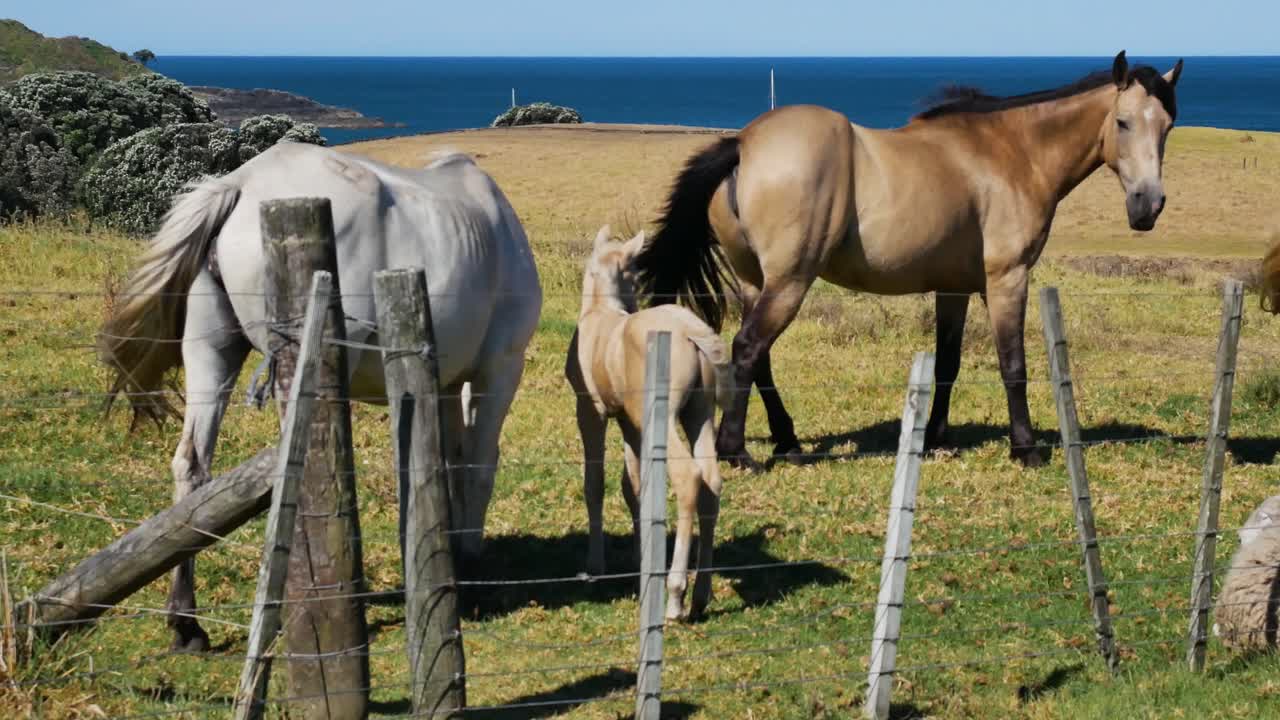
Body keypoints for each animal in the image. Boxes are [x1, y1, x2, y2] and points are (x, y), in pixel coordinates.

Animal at [99, 141, 542, 650]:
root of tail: (241, 185)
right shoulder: (500, 369)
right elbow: (478, 465)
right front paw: (468, 568)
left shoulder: (446, 382)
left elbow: (446, 464)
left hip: (210, 355)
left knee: (192, 468)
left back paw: (186, 622)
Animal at [565, 225, 731, 620]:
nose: (636, 302)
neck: (600, 312)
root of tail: (690, 331)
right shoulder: (629, 422)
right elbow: (634, 486)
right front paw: (641, 557)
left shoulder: (590, 412)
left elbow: (595, 484)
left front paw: (595, 567)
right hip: (699, 414)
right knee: (711, 481)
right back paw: (701, 595)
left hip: (666, 417)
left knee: (689, 477)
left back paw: (675, 596)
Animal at [633, 51, 1183, 468]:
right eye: (1122, 122)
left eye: (1168, 127)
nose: (1148, 205)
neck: (1010, 153)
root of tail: (744, 144)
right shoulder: (1007, 279)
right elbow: (1013, 363)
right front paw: (1024, 447)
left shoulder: (954, 286)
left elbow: (948, 363)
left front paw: (936, 437)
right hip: (789, 281)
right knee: (748, 348)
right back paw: (736, 452)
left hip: (756, 281)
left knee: (758, 355)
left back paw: (787, 440)